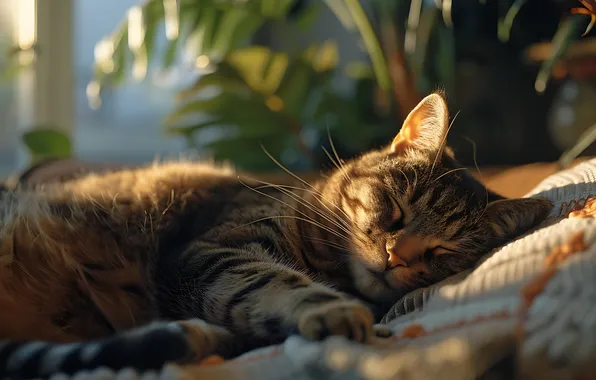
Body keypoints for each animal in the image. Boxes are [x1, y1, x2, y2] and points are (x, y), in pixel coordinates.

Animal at [0, 93, 552, 380]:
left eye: (442, 251)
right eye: (394, 211)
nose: (396, 257)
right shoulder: (208, 251)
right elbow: (269, 282)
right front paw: (332, 310)